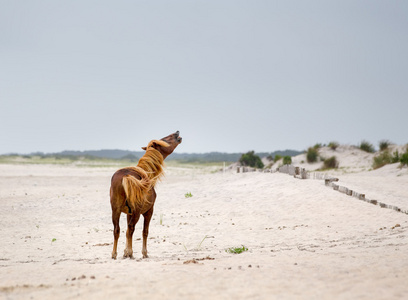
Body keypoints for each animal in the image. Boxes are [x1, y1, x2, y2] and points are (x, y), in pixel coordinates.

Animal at [111, 130, 182, 258]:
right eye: (165, 139)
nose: (176, 132)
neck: (147, 173)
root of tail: (126, 176)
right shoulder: (149, 211)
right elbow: (145, 232)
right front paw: (143, 253)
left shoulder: (128, 213)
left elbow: (126, 230)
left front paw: (125, 252)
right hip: (137, 212)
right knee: (131, 228)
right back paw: (131, 254)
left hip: (116, 210)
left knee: (117, 230)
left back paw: (114, 254)